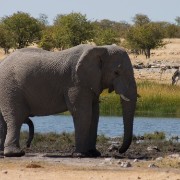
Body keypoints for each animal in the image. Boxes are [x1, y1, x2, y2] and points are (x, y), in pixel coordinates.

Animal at [0, 44, 136, 157]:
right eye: (116, 72)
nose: (118, 150)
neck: (100, 48)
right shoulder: (75, 82)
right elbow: (83, 113)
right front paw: (80, 155)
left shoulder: (90, 82)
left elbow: (95, 114)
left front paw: (94, 154)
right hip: (10, 88)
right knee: (15, 117)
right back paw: (15, 154)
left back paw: (2, 153)